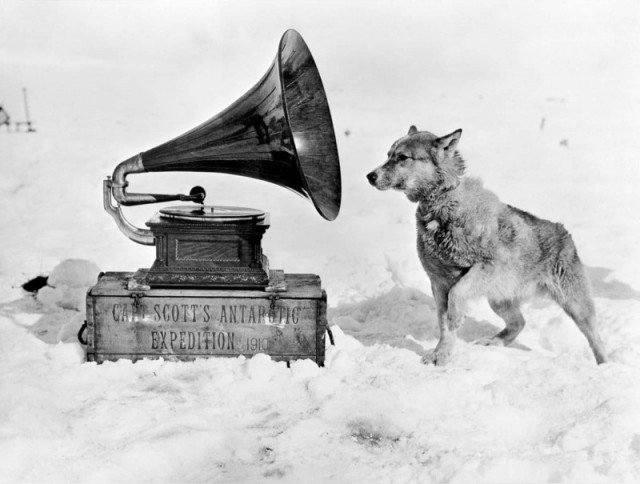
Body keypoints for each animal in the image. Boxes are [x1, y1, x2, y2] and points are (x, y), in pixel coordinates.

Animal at [368, 126, 608, 364]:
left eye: (402, 157)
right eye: (388, 155)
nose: (370, 176)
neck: (442, 205)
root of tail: (564, 232)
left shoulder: (484, 268)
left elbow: (457, 296)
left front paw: (455, 322)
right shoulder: (439, 283)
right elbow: (444, 326)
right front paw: (440, 355)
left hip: (575, 305)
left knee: (596, 338)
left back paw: (604, 365)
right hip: (498, 299)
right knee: (519, 322)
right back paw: (493, 342)